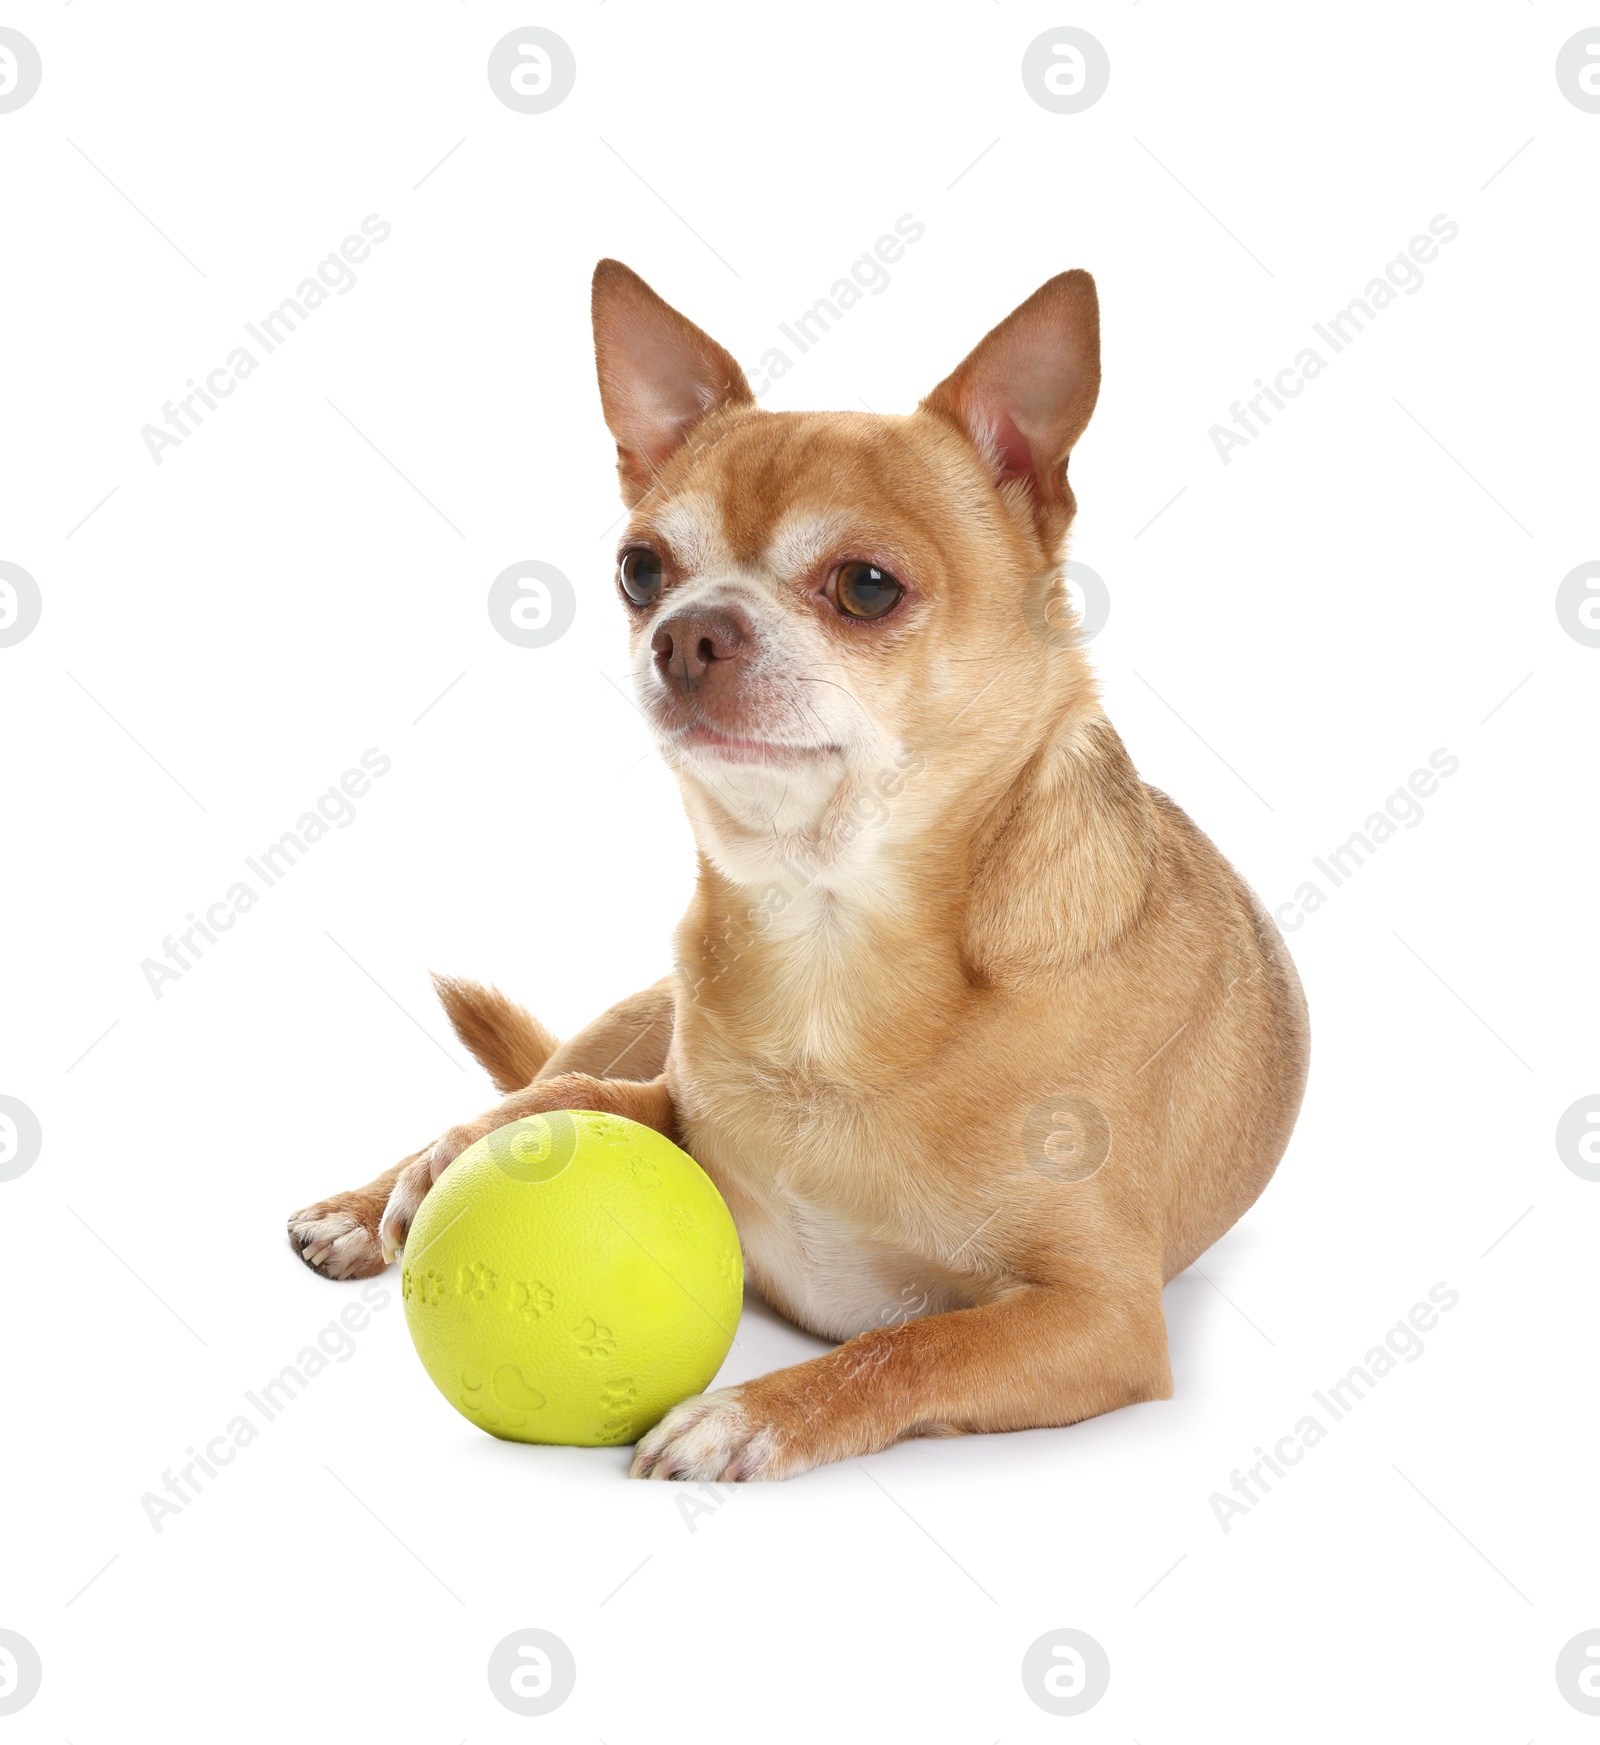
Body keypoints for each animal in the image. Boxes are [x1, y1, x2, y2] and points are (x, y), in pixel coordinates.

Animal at [289, 258, 1312, 1479]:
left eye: (866, 586)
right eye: (639, 570)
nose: (685, 632)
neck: (828, 928)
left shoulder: (1100, 1316)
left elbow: (912, 1348)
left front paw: (749, 1411)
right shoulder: (676, 1104)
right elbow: (587, 1098)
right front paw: (450, 1155)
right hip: (637, 1013)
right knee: (558, 1068)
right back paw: (371, 1197)